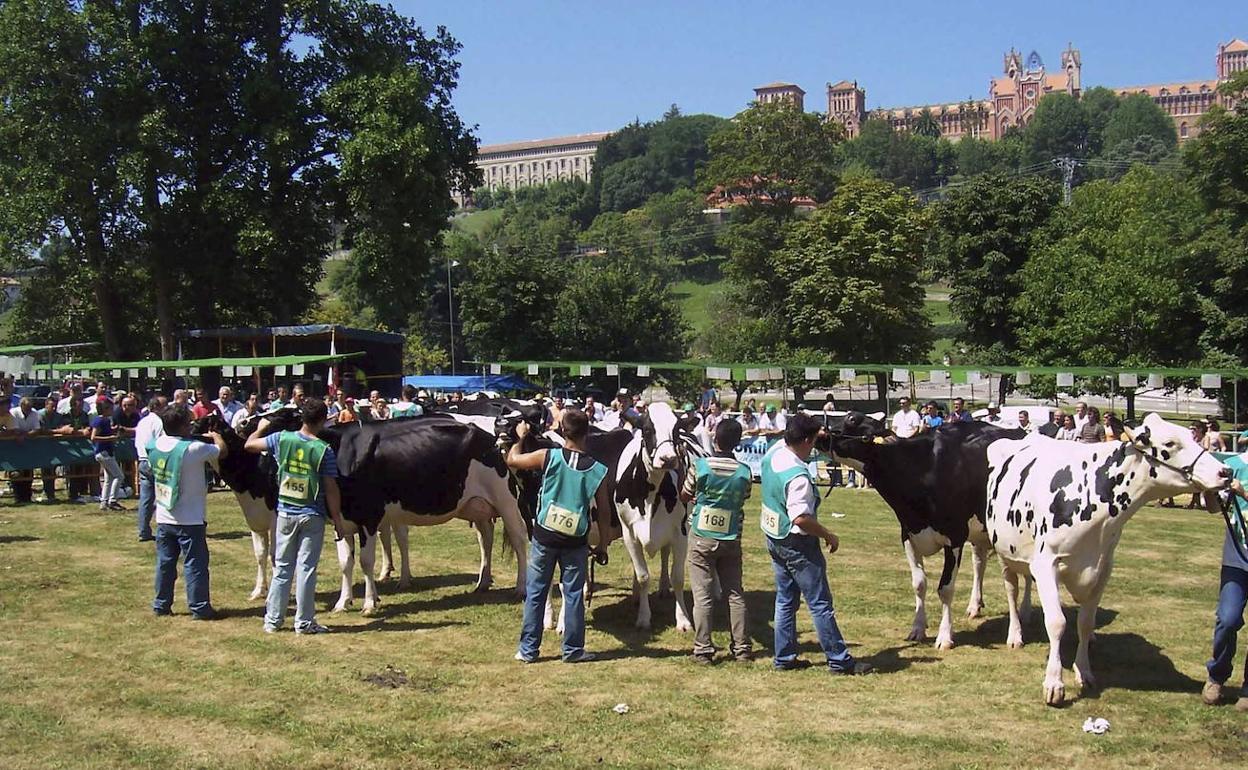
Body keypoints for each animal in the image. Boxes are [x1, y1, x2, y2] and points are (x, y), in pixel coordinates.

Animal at [833, 414, 1028, 648]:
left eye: (853, 419)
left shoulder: (955, 537)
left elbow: (945, 588)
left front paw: (944, 636)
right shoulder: (908, 535)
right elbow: (919, 584)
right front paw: (917, 628)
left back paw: (1023, 615)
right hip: (980, 533)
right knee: (979, 563)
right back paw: (974, 605)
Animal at [983, 414, 1228, 703]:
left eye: (1192, 435)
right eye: (1170, 443)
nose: (1226, 472)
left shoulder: (1103, 567)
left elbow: (1085, 622)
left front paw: (1084, 672)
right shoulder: (1047, 563)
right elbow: (1056, 622)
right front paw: (1054, 683)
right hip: (1004, 552)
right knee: (1011, 588)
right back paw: (1015, 634)